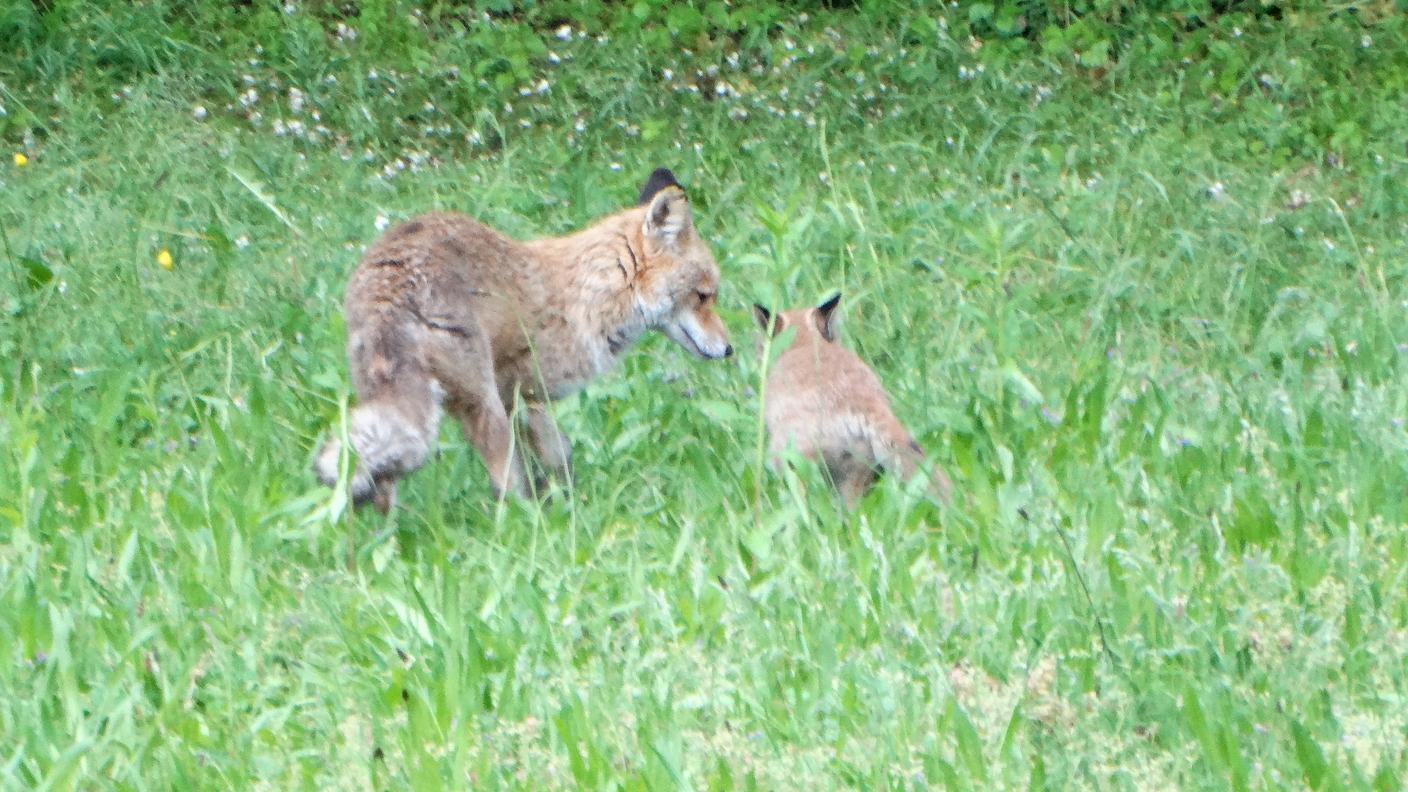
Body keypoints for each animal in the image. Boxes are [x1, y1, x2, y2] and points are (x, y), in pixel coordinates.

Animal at [314, 167, 733, 513]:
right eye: (704, 296)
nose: (729, 349)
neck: (588, 296)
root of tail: (388, 286)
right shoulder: (525, 393)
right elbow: (556, 454)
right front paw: (566, 502)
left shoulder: (517, 400)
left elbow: (558, 454)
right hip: (481, 406)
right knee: (504, 485)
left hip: (388, 397)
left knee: (379, 480)